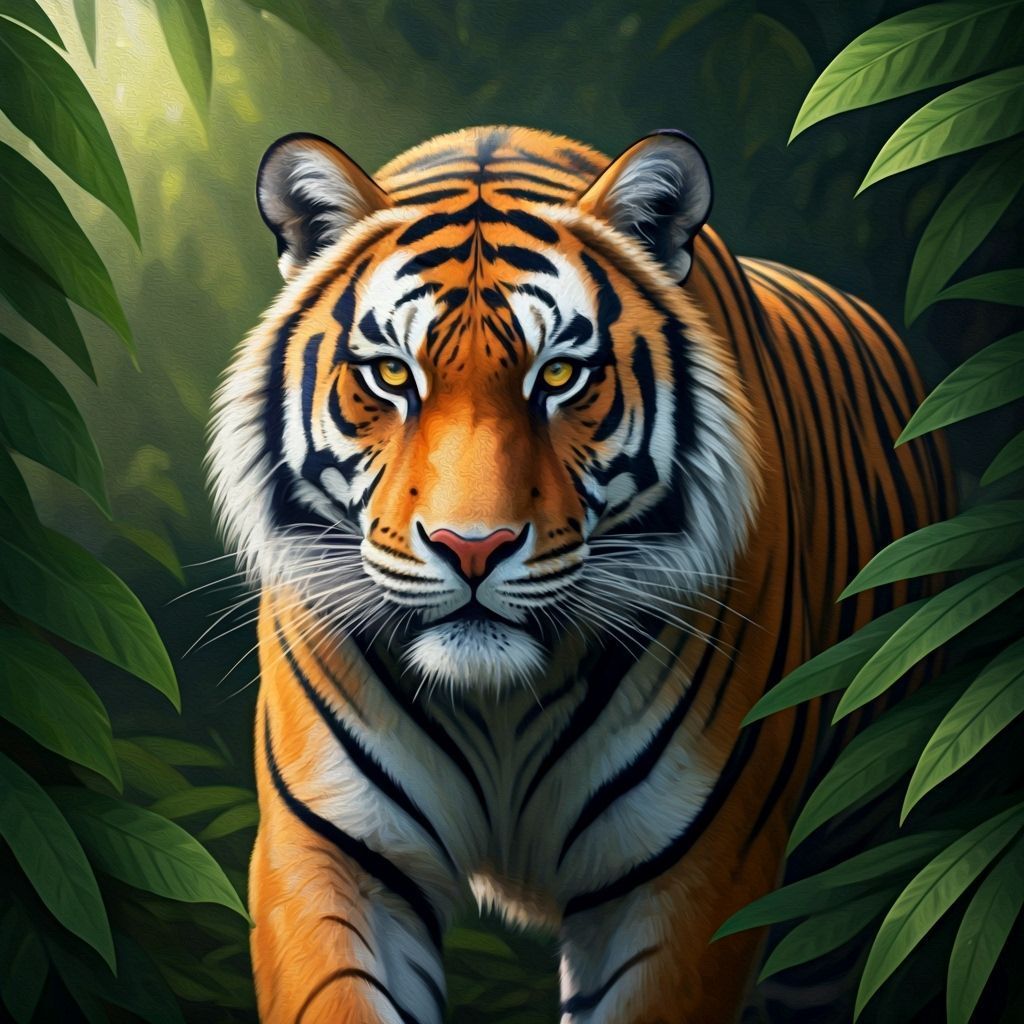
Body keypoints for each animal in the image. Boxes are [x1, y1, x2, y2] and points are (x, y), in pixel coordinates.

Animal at [207, 125, 952, 1023]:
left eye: (560, 376)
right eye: (392, 375)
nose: (472, 547)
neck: (496, 706)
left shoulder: (691, 870)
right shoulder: (334, 851)